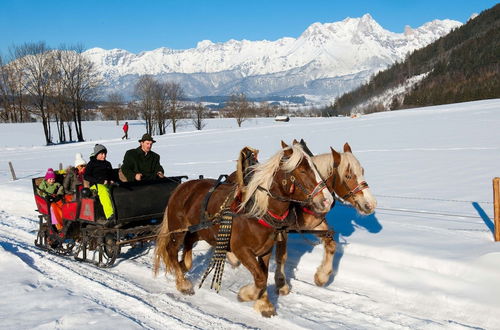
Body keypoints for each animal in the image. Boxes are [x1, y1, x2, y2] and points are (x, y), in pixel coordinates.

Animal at [152, 143, 332, 316]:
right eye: (302, 170)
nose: (327, 201)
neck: (258, 210)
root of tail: (181, 187)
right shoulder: (241, 250)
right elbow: (260, 277)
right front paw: (247, 295)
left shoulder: (266, 249)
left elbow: (264, 275)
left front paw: (263, 304)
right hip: (178, 231)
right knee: (171, 250)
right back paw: (183, 283)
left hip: (198, 230)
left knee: (188, 245)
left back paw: (184, 266)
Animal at [274, 142, 378, 294]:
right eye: (348, 176)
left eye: (362, 171)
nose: (370, 204)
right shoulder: (281, 229)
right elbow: (281, 256)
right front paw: (281, 284)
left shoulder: (317, 225)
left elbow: (331, 245)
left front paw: (322, 276)